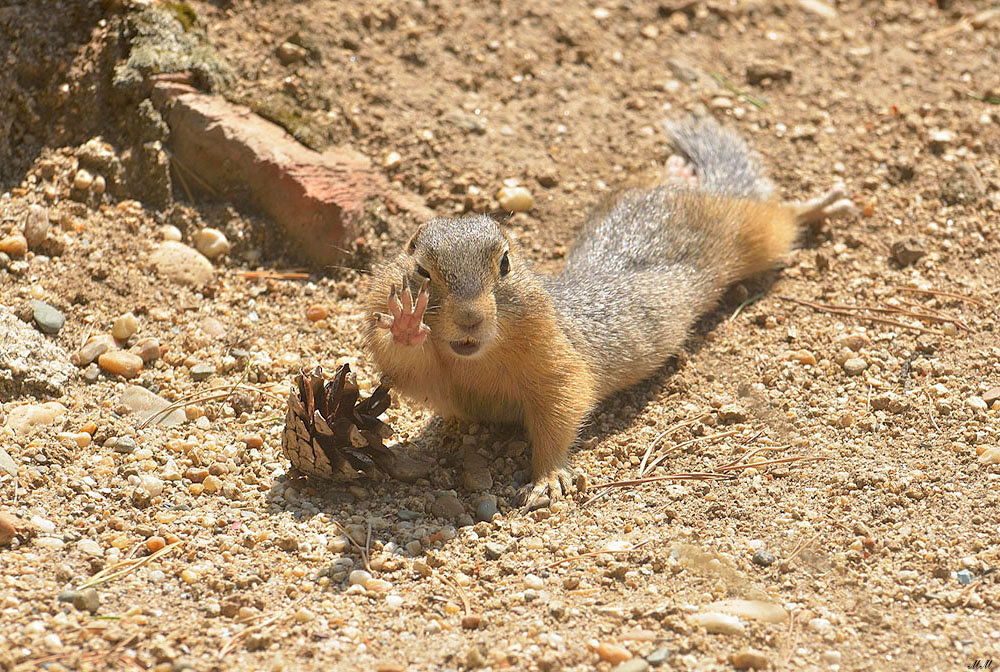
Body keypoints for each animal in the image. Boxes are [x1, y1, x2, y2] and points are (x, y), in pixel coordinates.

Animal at [362, 118, 852, 510]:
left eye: (504, 263)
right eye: (421, 270)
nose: (469, 319)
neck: (477, 360)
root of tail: (690, 187)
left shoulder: (557, 364)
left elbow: (561, 414)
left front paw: (547, 478)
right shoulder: (441, 383)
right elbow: (407, 370)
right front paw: (406, 323)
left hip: (753, 234)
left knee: (781, 214)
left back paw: (824, 203)